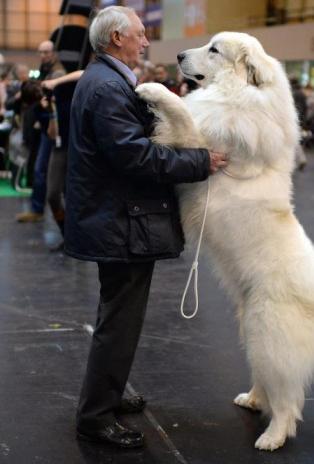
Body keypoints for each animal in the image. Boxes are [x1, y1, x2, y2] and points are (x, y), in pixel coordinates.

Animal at [136, 31, 314, 450]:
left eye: (214, 49)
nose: (178, 55)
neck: (240, 95)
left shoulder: (200, 143)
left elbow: (182, 113)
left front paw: (151, 88)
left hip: (270, 335)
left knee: (287, 399)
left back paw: (272, 437)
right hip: (251, 330)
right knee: (267, 382)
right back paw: (251, 400)